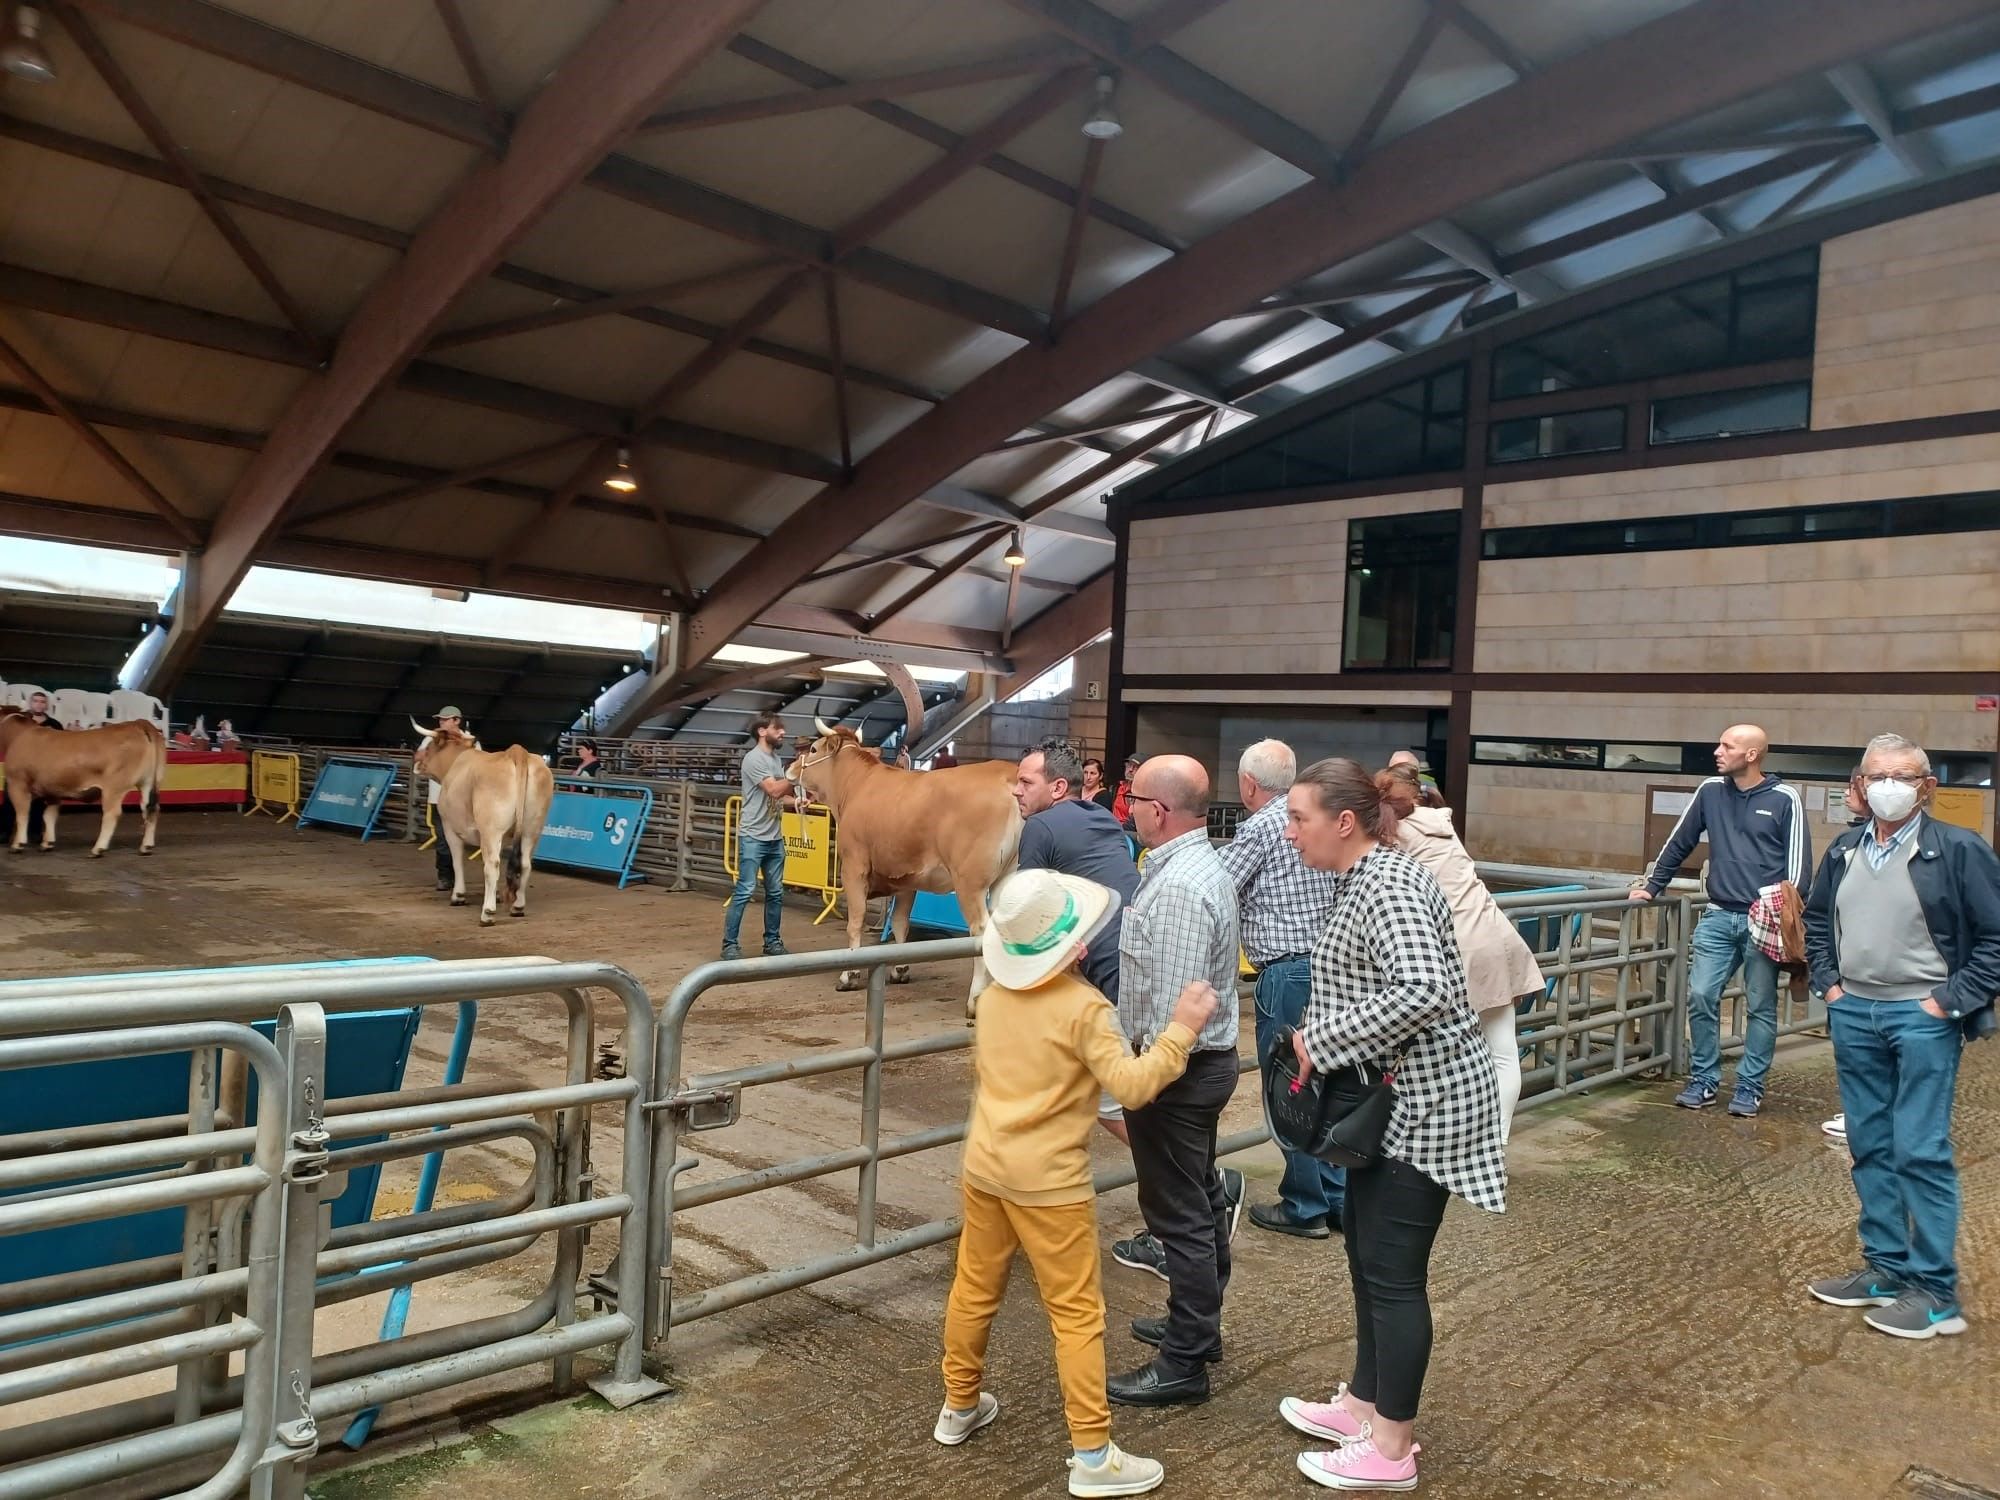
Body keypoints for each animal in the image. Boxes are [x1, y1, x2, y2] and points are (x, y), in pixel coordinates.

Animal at [0, 708, 167, 856]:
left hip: (114, 787)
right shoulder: (53, 790)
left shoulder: (17, 783)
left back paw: (98, 849)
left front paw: (17, 844)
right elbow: (49, 816)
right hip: (150, 782)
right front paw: (47, 843)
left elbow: (22, 814)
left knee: (112, 813)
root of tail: (139, 723)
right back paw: (146, 847)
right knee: (151, 809)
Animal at [410, 720, 556, 924]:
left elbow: (457, 860)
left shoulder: (450, 828)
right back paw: (517, 907)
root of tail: (516, 752)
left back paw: (487, 913)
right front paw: (496, 895)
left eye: (429, 746)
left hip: (491, 829)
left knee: (492, 865)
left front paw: (458, 895)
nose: (416, 759)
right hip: (532, 829)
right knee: (525, 863)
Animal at [792, 720, 1024, 1024]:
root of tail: (1006, 774)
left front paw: (849, 974)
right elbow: (901, 922)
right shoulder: (905, 879)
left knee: (981, 931)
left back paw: (974, 1001)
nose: (790, 768)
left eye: (813, 749)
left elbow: (855, 920)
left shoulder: (853, 867)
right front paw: (900, 969)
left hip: (969, 882)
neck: (857, 785)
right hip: (1007, 876)